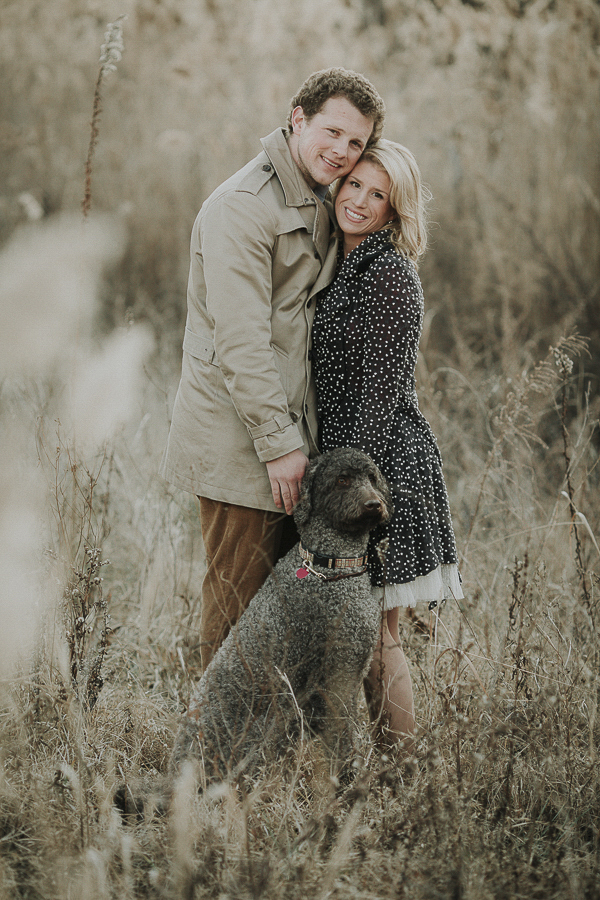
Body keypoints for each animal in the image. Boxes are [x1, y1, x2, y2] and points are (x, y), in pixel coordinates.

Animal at [170, 448, 394, 780]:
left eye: (372, 477)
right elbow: (343, 739)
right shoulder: (340, 675)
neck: (331, 567)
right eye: (342, 479)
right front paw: (348, 781)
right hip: (269, 727)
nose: (374, 504)